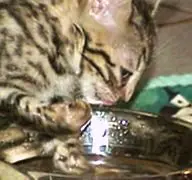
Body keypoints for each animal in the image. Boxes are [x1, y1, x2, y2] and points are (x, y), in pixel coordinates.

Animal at [0, 0, 156, 175]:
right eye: (125, 74)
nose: (126, 98)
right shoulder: (5, 85)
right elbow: (27, 103)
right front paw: (72, 116)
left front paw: (71, 155)